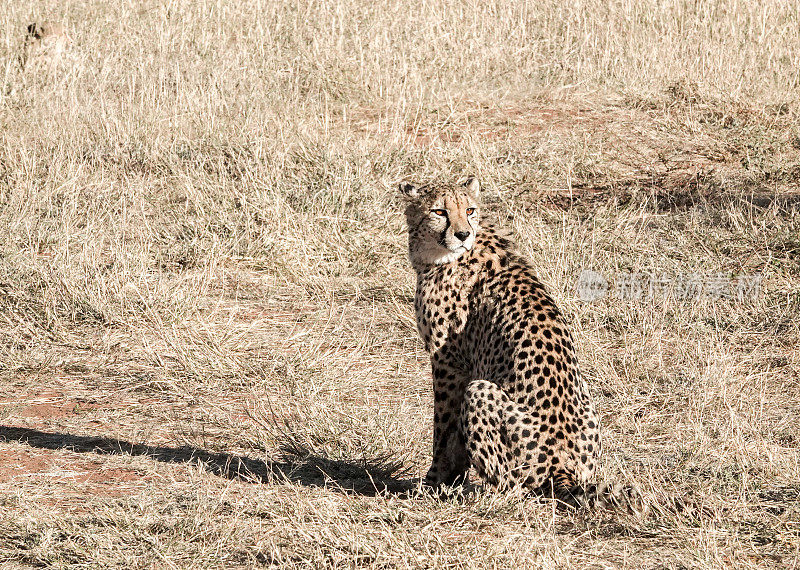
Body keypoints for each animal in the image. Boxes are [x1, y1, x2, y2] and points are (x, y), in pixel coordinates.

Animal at [404, 175, 620, 504]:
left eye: (469, 209)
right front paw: (450, 479)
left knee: (515, 486)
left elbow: (442, 429)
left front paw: (435, 480)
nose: (463, 234)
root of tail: (564, 468)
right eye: (439, 211)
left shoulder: (448, 363)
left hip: (480, 392)